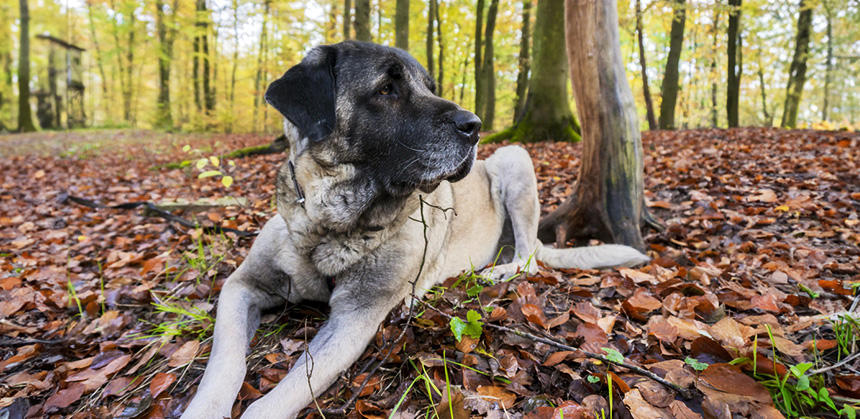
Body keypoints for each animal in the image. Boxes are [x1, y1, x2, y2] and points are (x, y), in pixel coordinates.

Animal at [183, 40, 652, 419]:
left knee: (529, 259)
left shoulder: (355, 317)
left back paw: (493, 272)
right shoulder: (242, 285)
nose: (475, 125)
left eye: (428, 86)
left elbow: (280, 395)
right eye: (386, 89)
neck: (331, 223)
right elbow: (224, 362)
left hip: (514, 158)